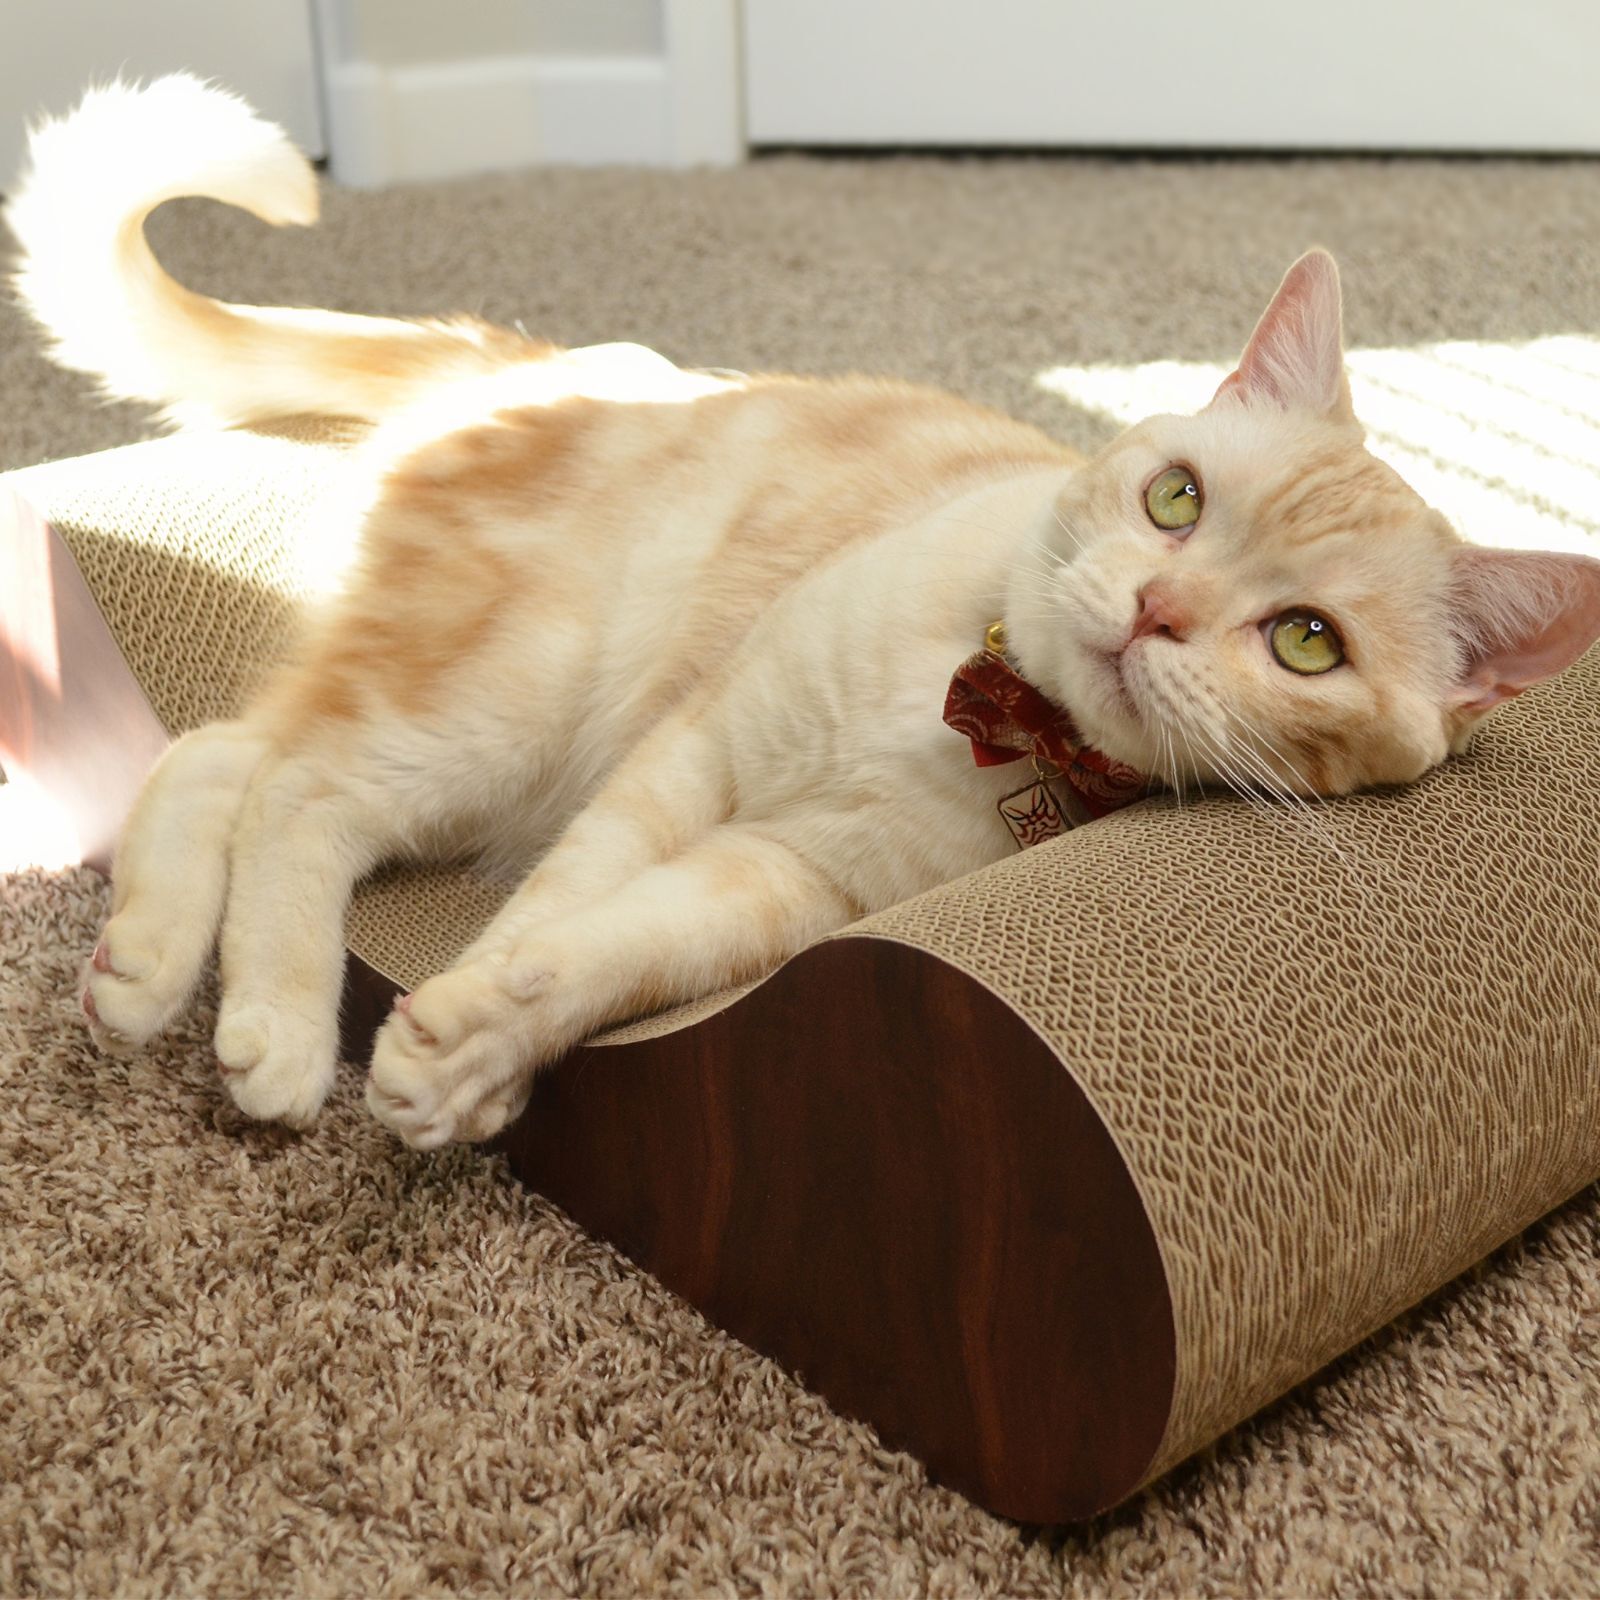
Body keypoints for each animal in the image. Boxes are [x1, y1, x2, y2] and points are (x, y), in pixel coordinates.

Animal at [12, 78, 1600, 1152]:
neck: (964, 710)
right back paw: (269, 1021)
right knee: (296, 787)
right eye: (1177, 501)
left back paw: (152, 970)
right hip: (504, 702)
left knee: (237, 758)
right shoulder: (690, 754)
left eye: (1304, 640)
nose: (1157, 607)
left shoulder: (779, 884)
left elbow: (602, 951)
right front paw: (458, 1017)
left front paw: (479, 1047)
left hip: (471, 724)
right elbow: (559, 903)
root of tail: (531, 360)